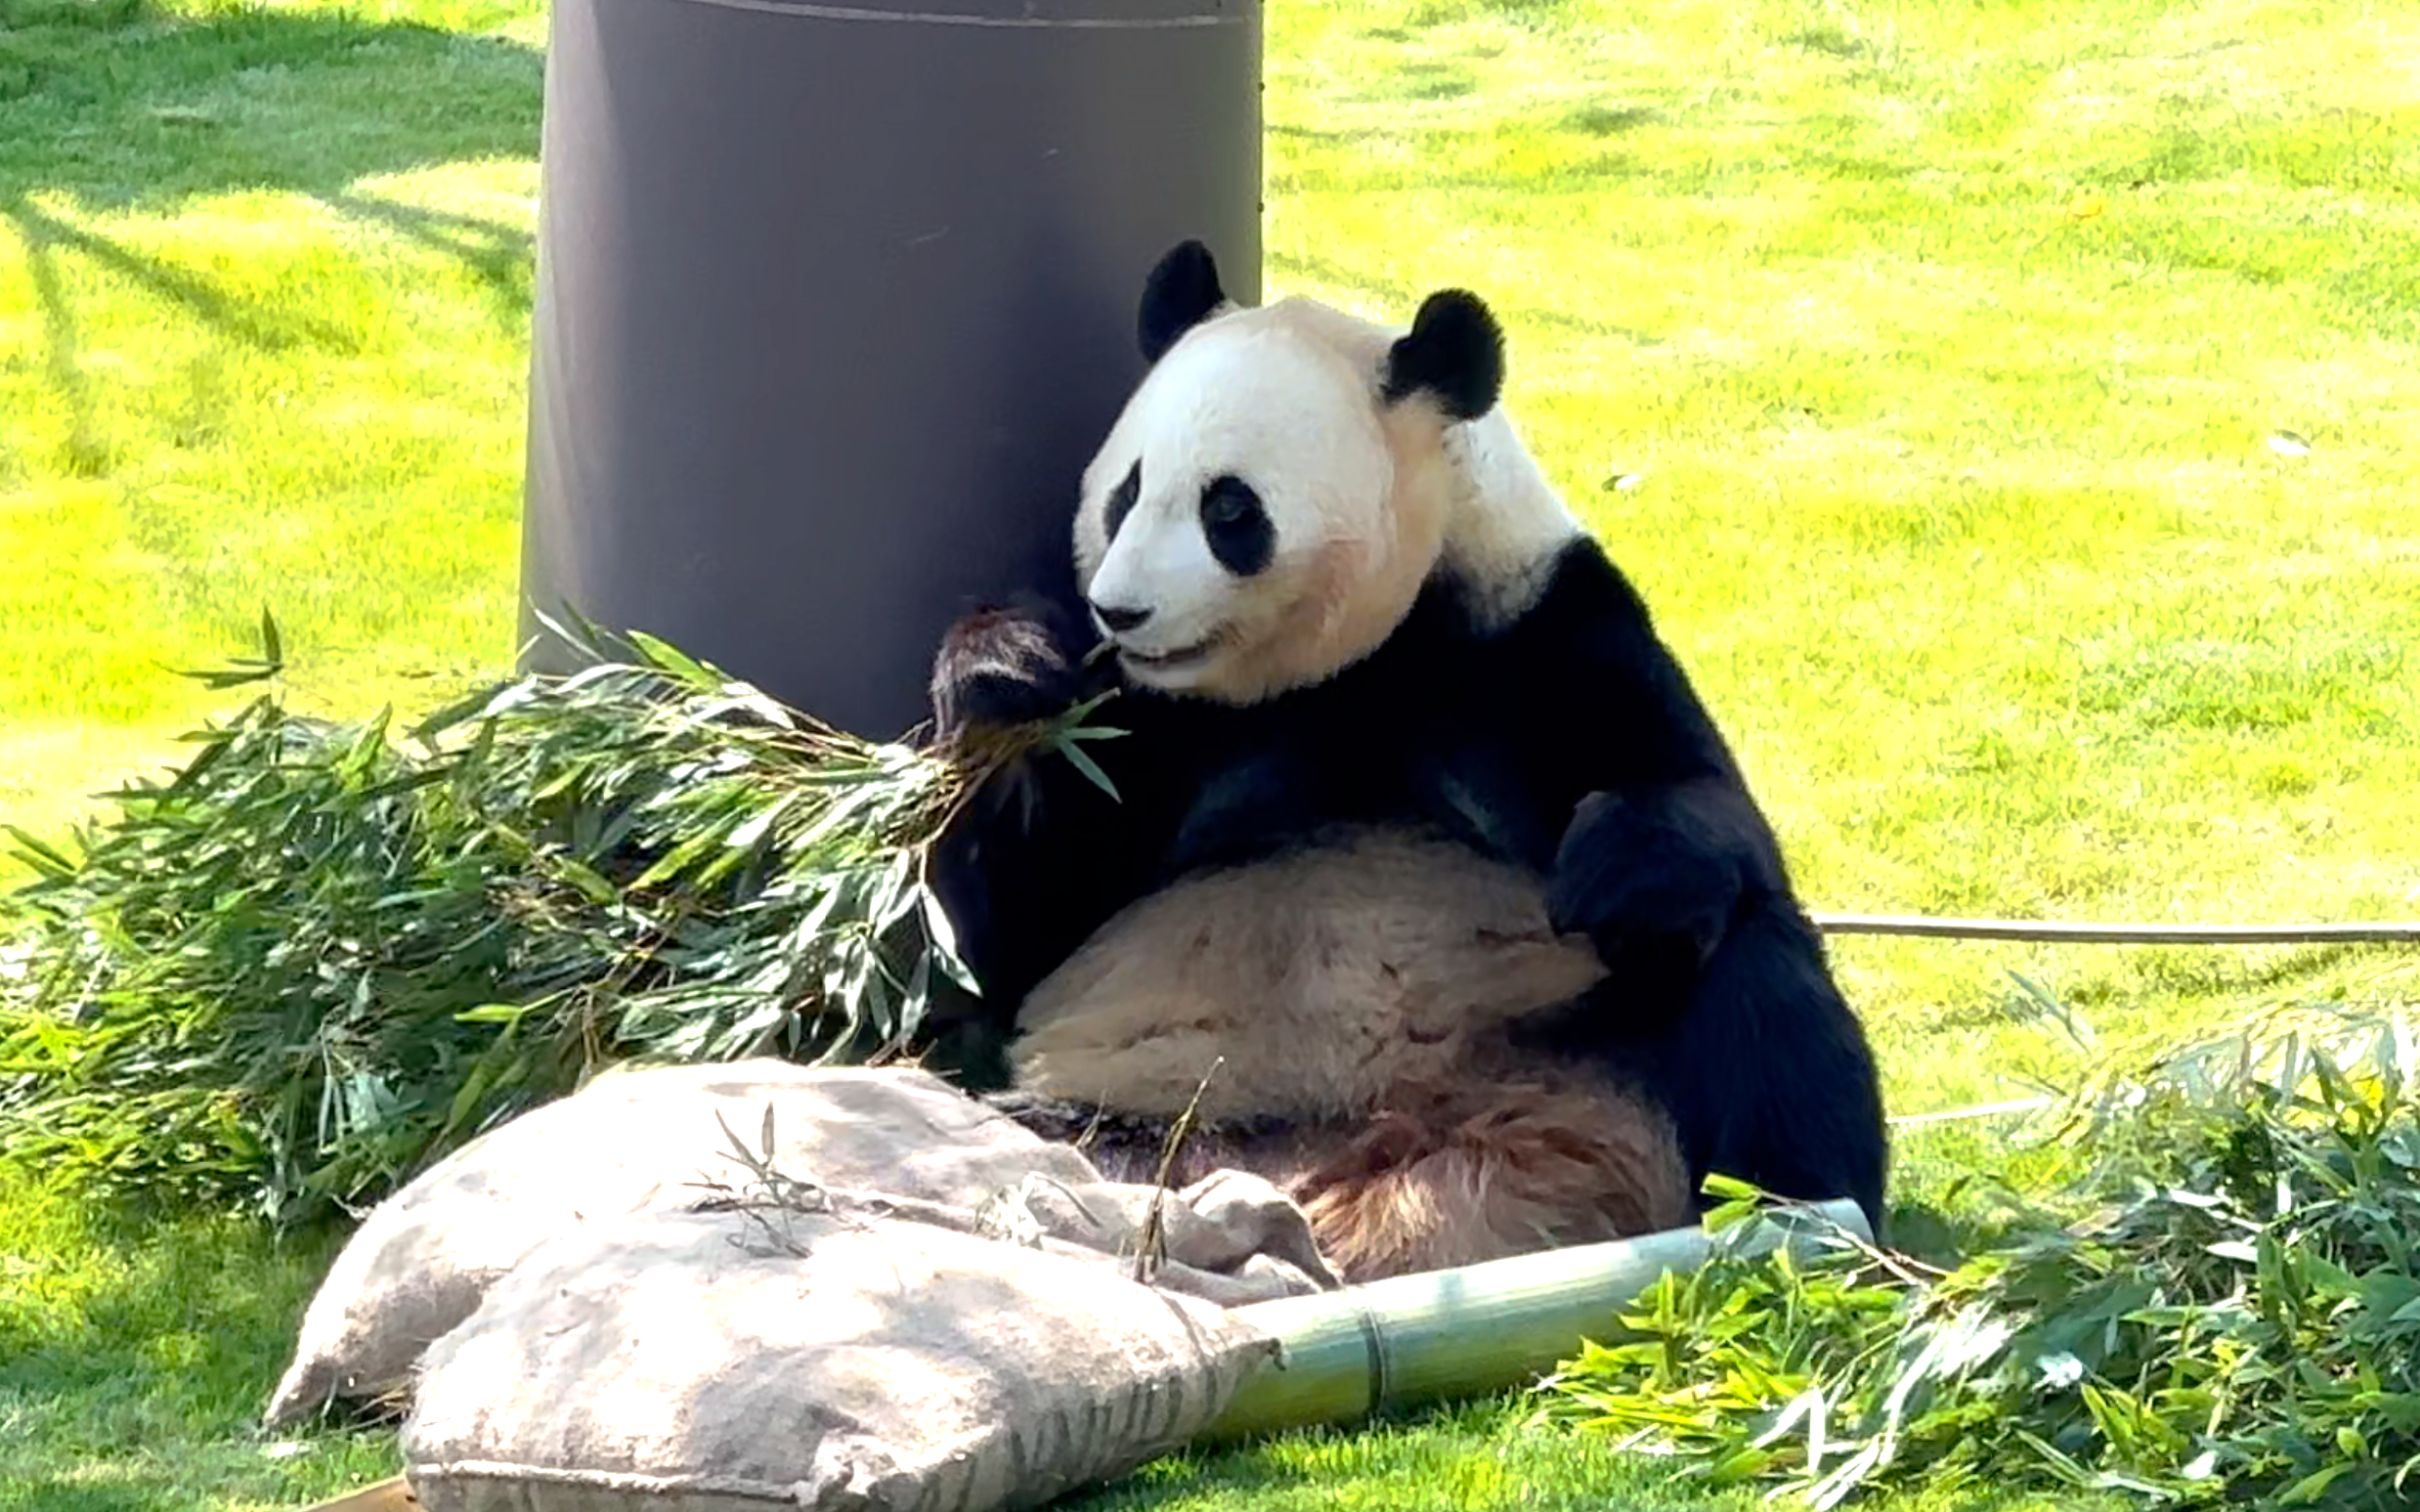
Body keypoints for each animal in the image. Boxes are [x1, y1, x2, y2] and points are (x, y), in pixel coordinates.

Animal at [923, 239, 1888, 1282]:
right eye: (1127, 491)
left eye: (1230, 508)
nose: (1120, 608)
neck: (1347, 667)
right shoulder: (1156, 729)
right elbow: (1016, 929)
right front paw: (1005, 670)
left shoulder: (1537, 638)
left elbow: (1709, 809)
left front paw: (1614, 865)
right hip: (1137, 1121)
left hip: (1608, 1042)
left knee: (1764, 997)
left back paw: (1815, 1230)